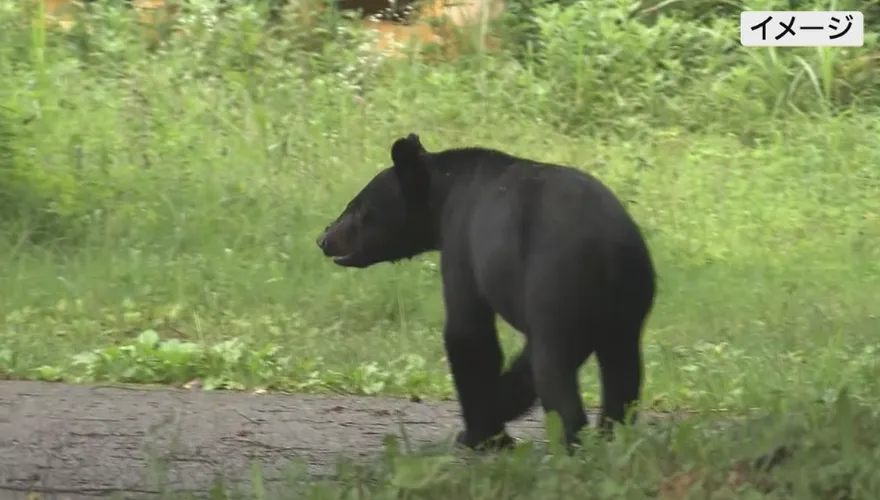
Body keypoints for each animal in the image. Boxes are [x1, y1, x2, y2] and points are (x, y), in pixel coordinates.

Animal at [316, 133, 656, 452]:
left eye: (357, 207)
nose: (323, 238)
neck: (447, 190)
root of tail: (609, 249)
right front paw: (496, 413)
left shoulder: (461, 241)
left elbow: (468, 333)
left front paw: (480, 432)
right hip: (627, 307)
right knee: (622, 374)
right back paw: (613, 439)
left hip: (556, 283)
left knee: (555, 372)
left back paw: (572, 445)